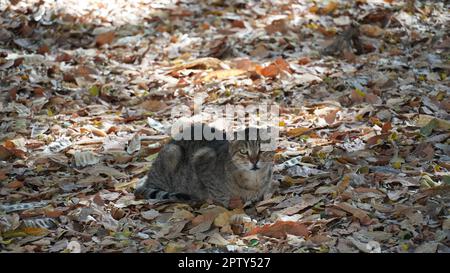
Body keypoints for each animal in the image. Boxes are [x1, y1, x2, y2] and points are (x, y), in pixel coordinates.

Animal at [134, 123, 276, 206]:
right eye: (243, 151)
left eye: (262, 150)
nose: (254, 161)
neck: (254, 181)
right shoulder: (201, 158)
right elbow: (216, 193)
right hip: (172, 152)